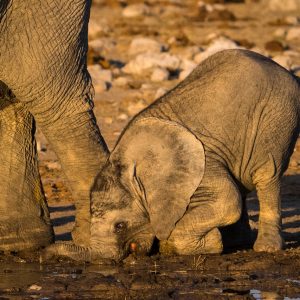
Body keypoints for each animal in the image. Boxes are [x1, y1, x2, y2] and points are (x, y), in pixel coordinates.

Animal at [45, 49, 300, 262]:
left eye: (120, 226)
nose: (43, 253)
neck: (130, 163)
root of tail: (284, 70)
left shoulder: (205, 168)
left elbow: (227, 201)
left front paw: (207, 243)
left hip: (277, 116)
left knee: (267, 174)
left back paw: (265, 248)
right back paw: (236, 242)